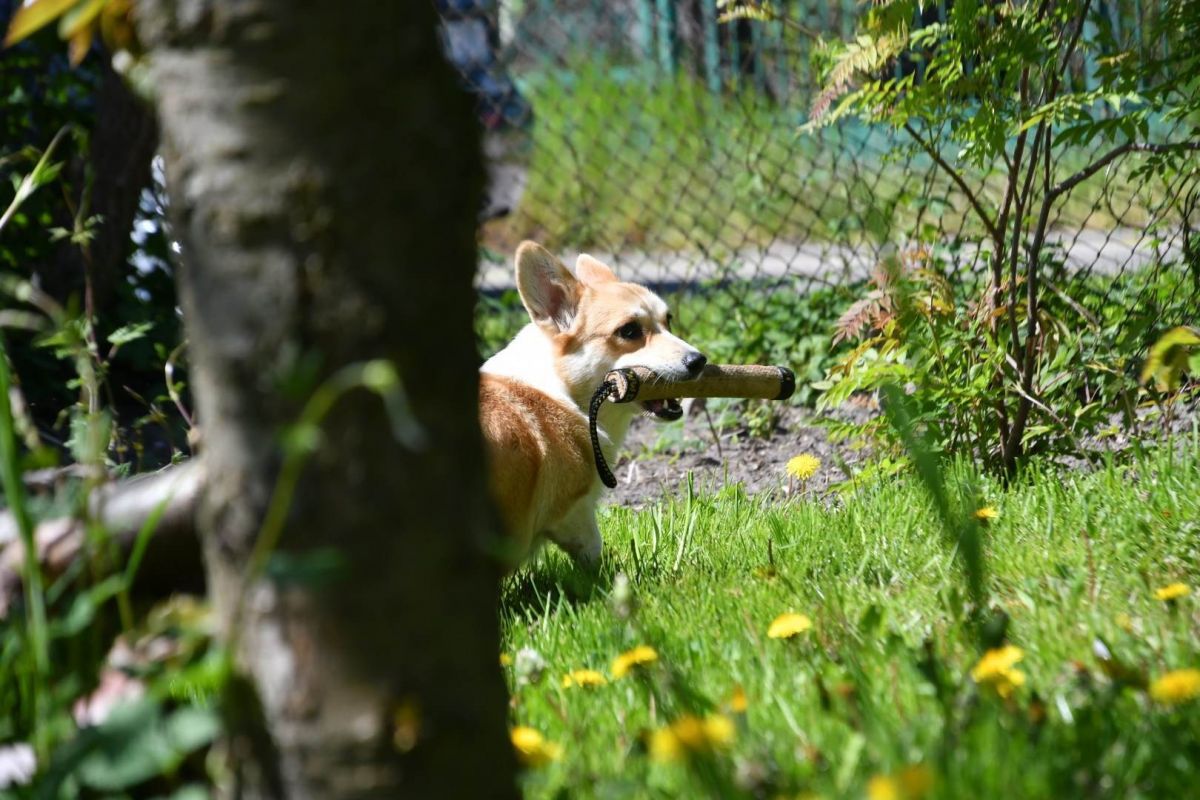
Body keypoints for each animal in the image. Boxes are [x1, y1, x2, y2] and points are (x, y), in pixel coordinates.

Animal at [480, 241, 707, 569]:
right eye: (629, 331)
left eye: (669, 320)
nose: (699, 361)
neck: (562, 386)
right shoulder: (575, 513)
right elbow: (592, 548)